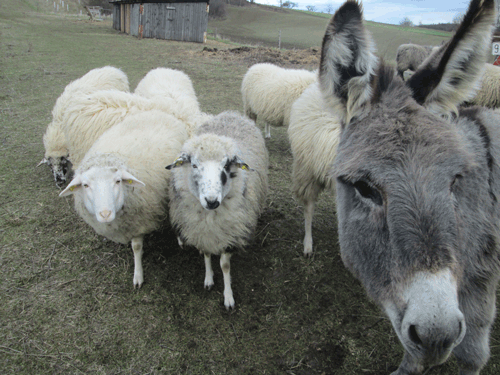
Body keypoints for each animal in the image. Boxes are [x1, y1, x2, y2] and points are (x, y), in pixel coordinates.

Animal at [59, 110, 188, 290]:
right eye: (85, 185)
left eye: (118, 181)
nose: (105, 214)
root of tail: (158, 112)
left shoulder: (138, 222)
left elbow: (136, 247)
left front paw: (138, 275)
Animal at [165, 110, 268, 310]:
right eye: (194, 165)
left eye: (226, 166)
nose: (212, 201)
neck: (210, 217)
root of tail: (231, 113)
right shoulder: (202, 232)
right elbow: (206, 254)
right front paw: (208, 279)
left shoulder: (230, 233)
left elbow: (225, 265)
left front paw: (228, 297)